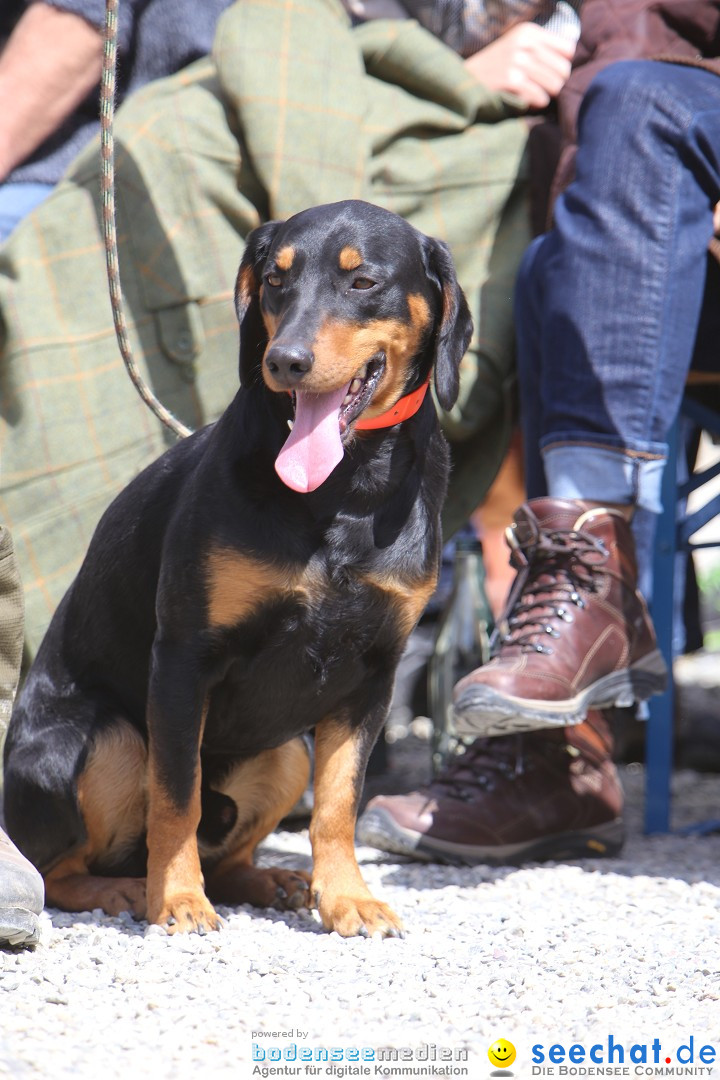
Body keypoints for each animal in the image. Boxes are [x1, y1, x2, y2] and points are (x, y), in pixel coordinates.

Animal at [4, 200, 472, 937]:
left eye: (363, 281)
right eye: (275, 281)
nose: (285, 361)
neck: (347, 489)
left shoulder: (373, 672)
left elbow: (339, 804)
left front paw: (346, 897)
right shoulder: (183, 658)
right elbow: (177, 797)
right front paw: (177, 899)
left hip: (286, 754)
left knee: (231, 850)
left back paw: (273, 880)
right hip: (104, 741)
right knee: (63, 867)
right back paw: (126, 889)